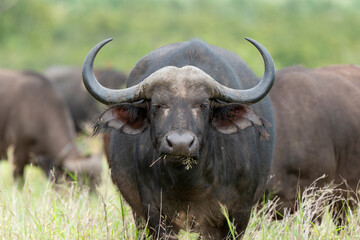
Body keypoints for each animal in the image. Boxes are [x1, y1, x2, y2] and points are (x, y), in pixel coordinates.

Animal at [83, 37, 276, 238]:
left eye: (203, 105)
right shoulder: (154, 213)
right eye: (157, 106)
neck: (190, 183)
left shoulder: (239, 213)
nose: (180, 144)